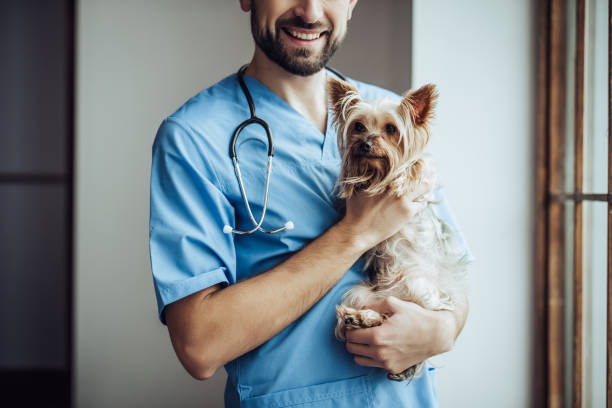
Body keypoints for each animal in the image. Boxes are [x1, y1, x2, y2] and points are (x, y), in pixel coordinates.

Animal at [330, 77, 468, 382]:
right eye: (358, 126)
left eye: (391, 129)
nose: (365, 144)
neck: (376, 172)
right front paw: (353, 180)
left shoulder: (421, 174)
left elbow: (416, 167)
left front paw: (400, 178)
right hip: (360, 293)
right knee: (374, 316)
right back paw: (357, 319)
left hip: (420, 287)